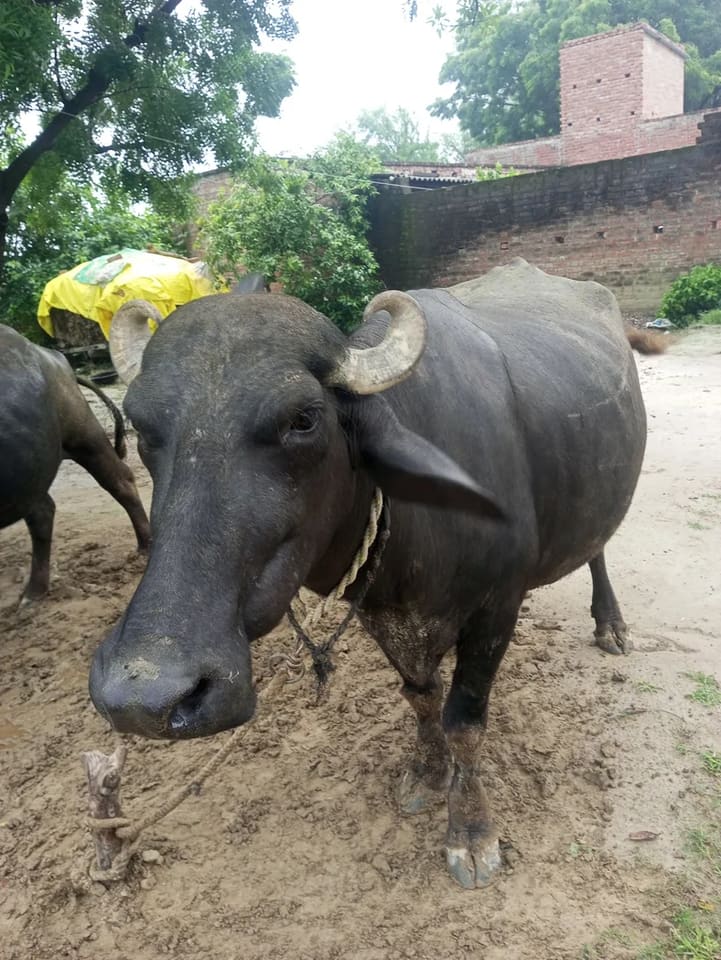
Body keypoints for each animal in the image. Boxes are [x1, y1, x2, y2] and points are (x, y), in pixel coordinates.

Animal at [0, 324, 150, 603]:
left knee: (120, 481)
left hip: (85, 438)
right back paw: (34, 592)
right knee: (42, 512)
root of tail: (55, 358)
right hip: (32, 474)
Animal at [90, 259, 649, 888]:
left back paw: (611, 625)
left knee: (599, 549)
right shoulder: (380, 610)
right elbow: (421, 697)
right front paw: (427, 773)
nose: (145, 695)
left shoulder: (497, 608)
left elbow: (464, 722)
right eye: (142, 427)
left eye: (303, 419)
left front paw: (471, 832)